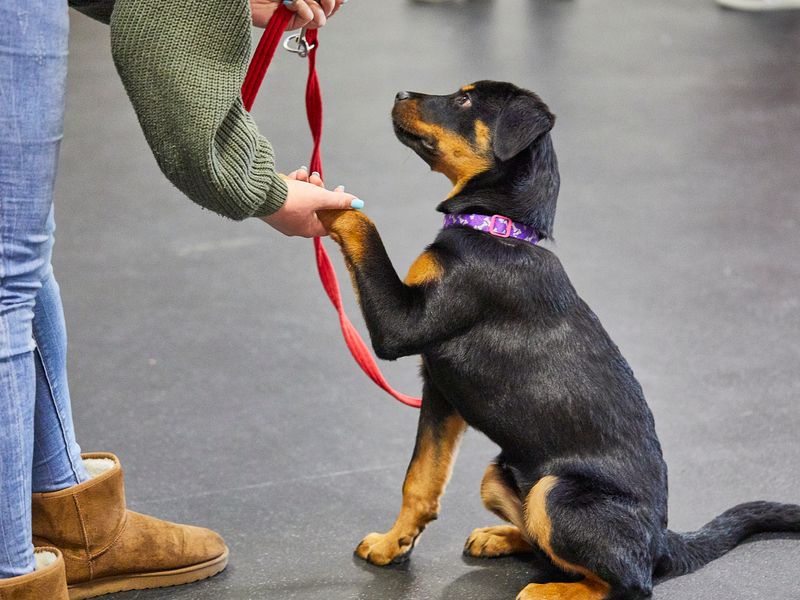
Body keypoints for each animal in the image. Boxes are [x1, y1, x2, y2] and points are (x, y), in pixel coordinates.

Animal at [318, 81, 800, 600]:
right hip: (500, 475)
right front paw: (392, 545)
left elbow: (364, 226)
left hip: (557, 491)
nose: (399, 92)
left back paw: (548, 590)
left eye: (465, 100)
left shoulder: (401, 326)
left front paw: (323, 199)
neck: (500, 228)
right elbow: (420, 481)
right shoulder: (440, 390)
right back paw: (500, 537)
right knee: (547, 544)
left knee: (628, 583)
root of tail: (662, 544)